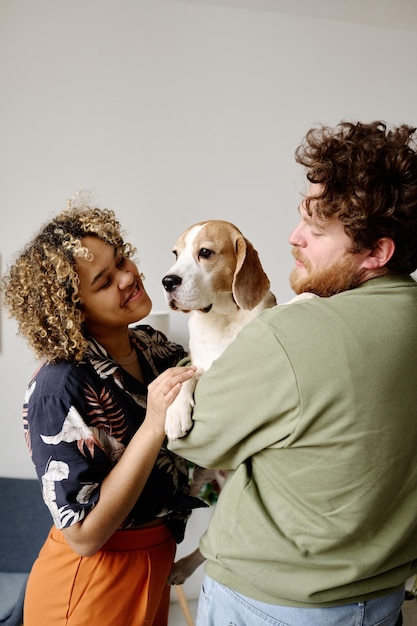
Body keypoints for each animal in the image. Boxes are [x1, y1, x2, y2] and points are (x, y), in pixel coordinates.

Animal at [162, 219, 276, 438]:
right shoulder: (200, 365)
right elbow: (186, 375)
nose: (167, 281)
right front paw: (175, 413)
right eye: (175, 254)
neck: (222, 316)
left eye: (205, 252)